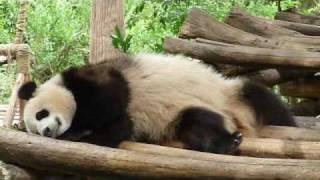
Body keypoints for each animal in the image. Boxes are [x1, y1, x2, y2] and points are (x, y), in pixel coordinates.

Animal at [18, 52, 296, 154]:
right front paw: (82, 134)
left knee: (266, 102)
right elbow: (119, 129)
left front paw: (77, 129)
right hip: (180, 115)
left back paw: (234, 139)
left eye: (41, 114)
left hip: (232, 93)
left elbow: (113, 96)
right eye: (34, 129)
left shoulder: (95, 79)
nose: (47, 131)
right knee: (196, 124)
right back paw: (225, 143)